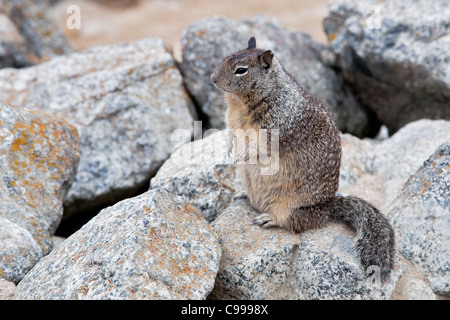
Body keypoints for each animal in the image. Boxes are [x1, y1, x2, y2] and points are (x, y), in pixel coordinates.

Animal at [211, 37, 394, 282]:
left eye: (241, 70)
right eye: (225, 57)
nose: (213, 78)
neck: (240, 102)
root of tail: (327, 207)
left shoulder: (279, 126)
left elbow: (261, 146)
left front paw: (242, 153)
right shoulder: (231, 121)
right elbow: (231, 133)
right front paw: (230, 148)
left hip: (291, 208)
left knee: (294, 223)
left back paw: (268, 219)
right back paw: (243, 194)